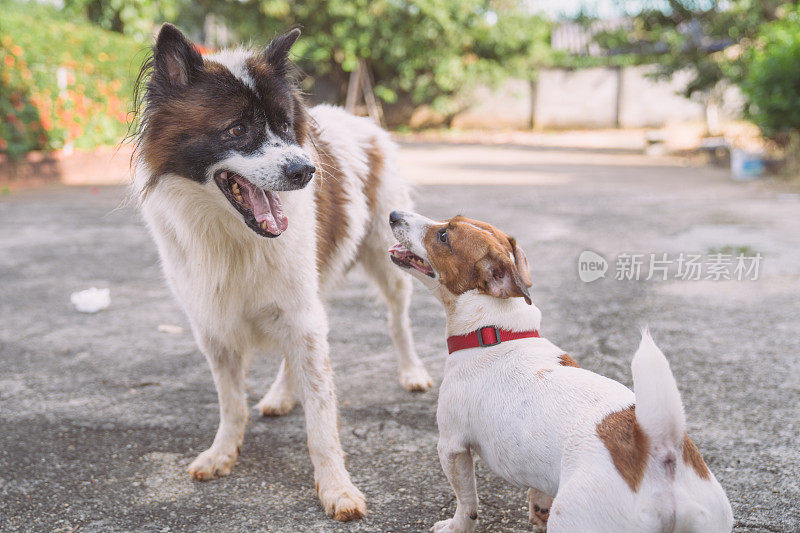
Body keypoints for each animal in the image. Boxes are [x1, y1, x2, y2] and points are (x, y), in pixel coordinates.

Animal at [131, 25, 432, 520]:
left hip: (385, 261)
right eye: (237, 129)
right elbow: (231, 403)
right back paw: (280, 394)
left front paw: (336, 488)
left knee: (397, 319)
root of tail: (363, 122)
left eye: (287, 126)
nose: (306, 170)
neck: (234, 236)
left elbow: (322, 415)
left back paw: (412, 371)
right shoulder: (212, 324)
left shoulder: (302, 315)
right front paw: (223, 452)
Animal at [388, 211, 732, 532]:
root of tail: (660, 450)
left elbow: (466, 502)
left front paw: (456, 526)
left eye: (444, 236)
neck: (496, 332)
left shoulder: (451, 447)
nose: (393, 215)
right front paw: (538, 506)